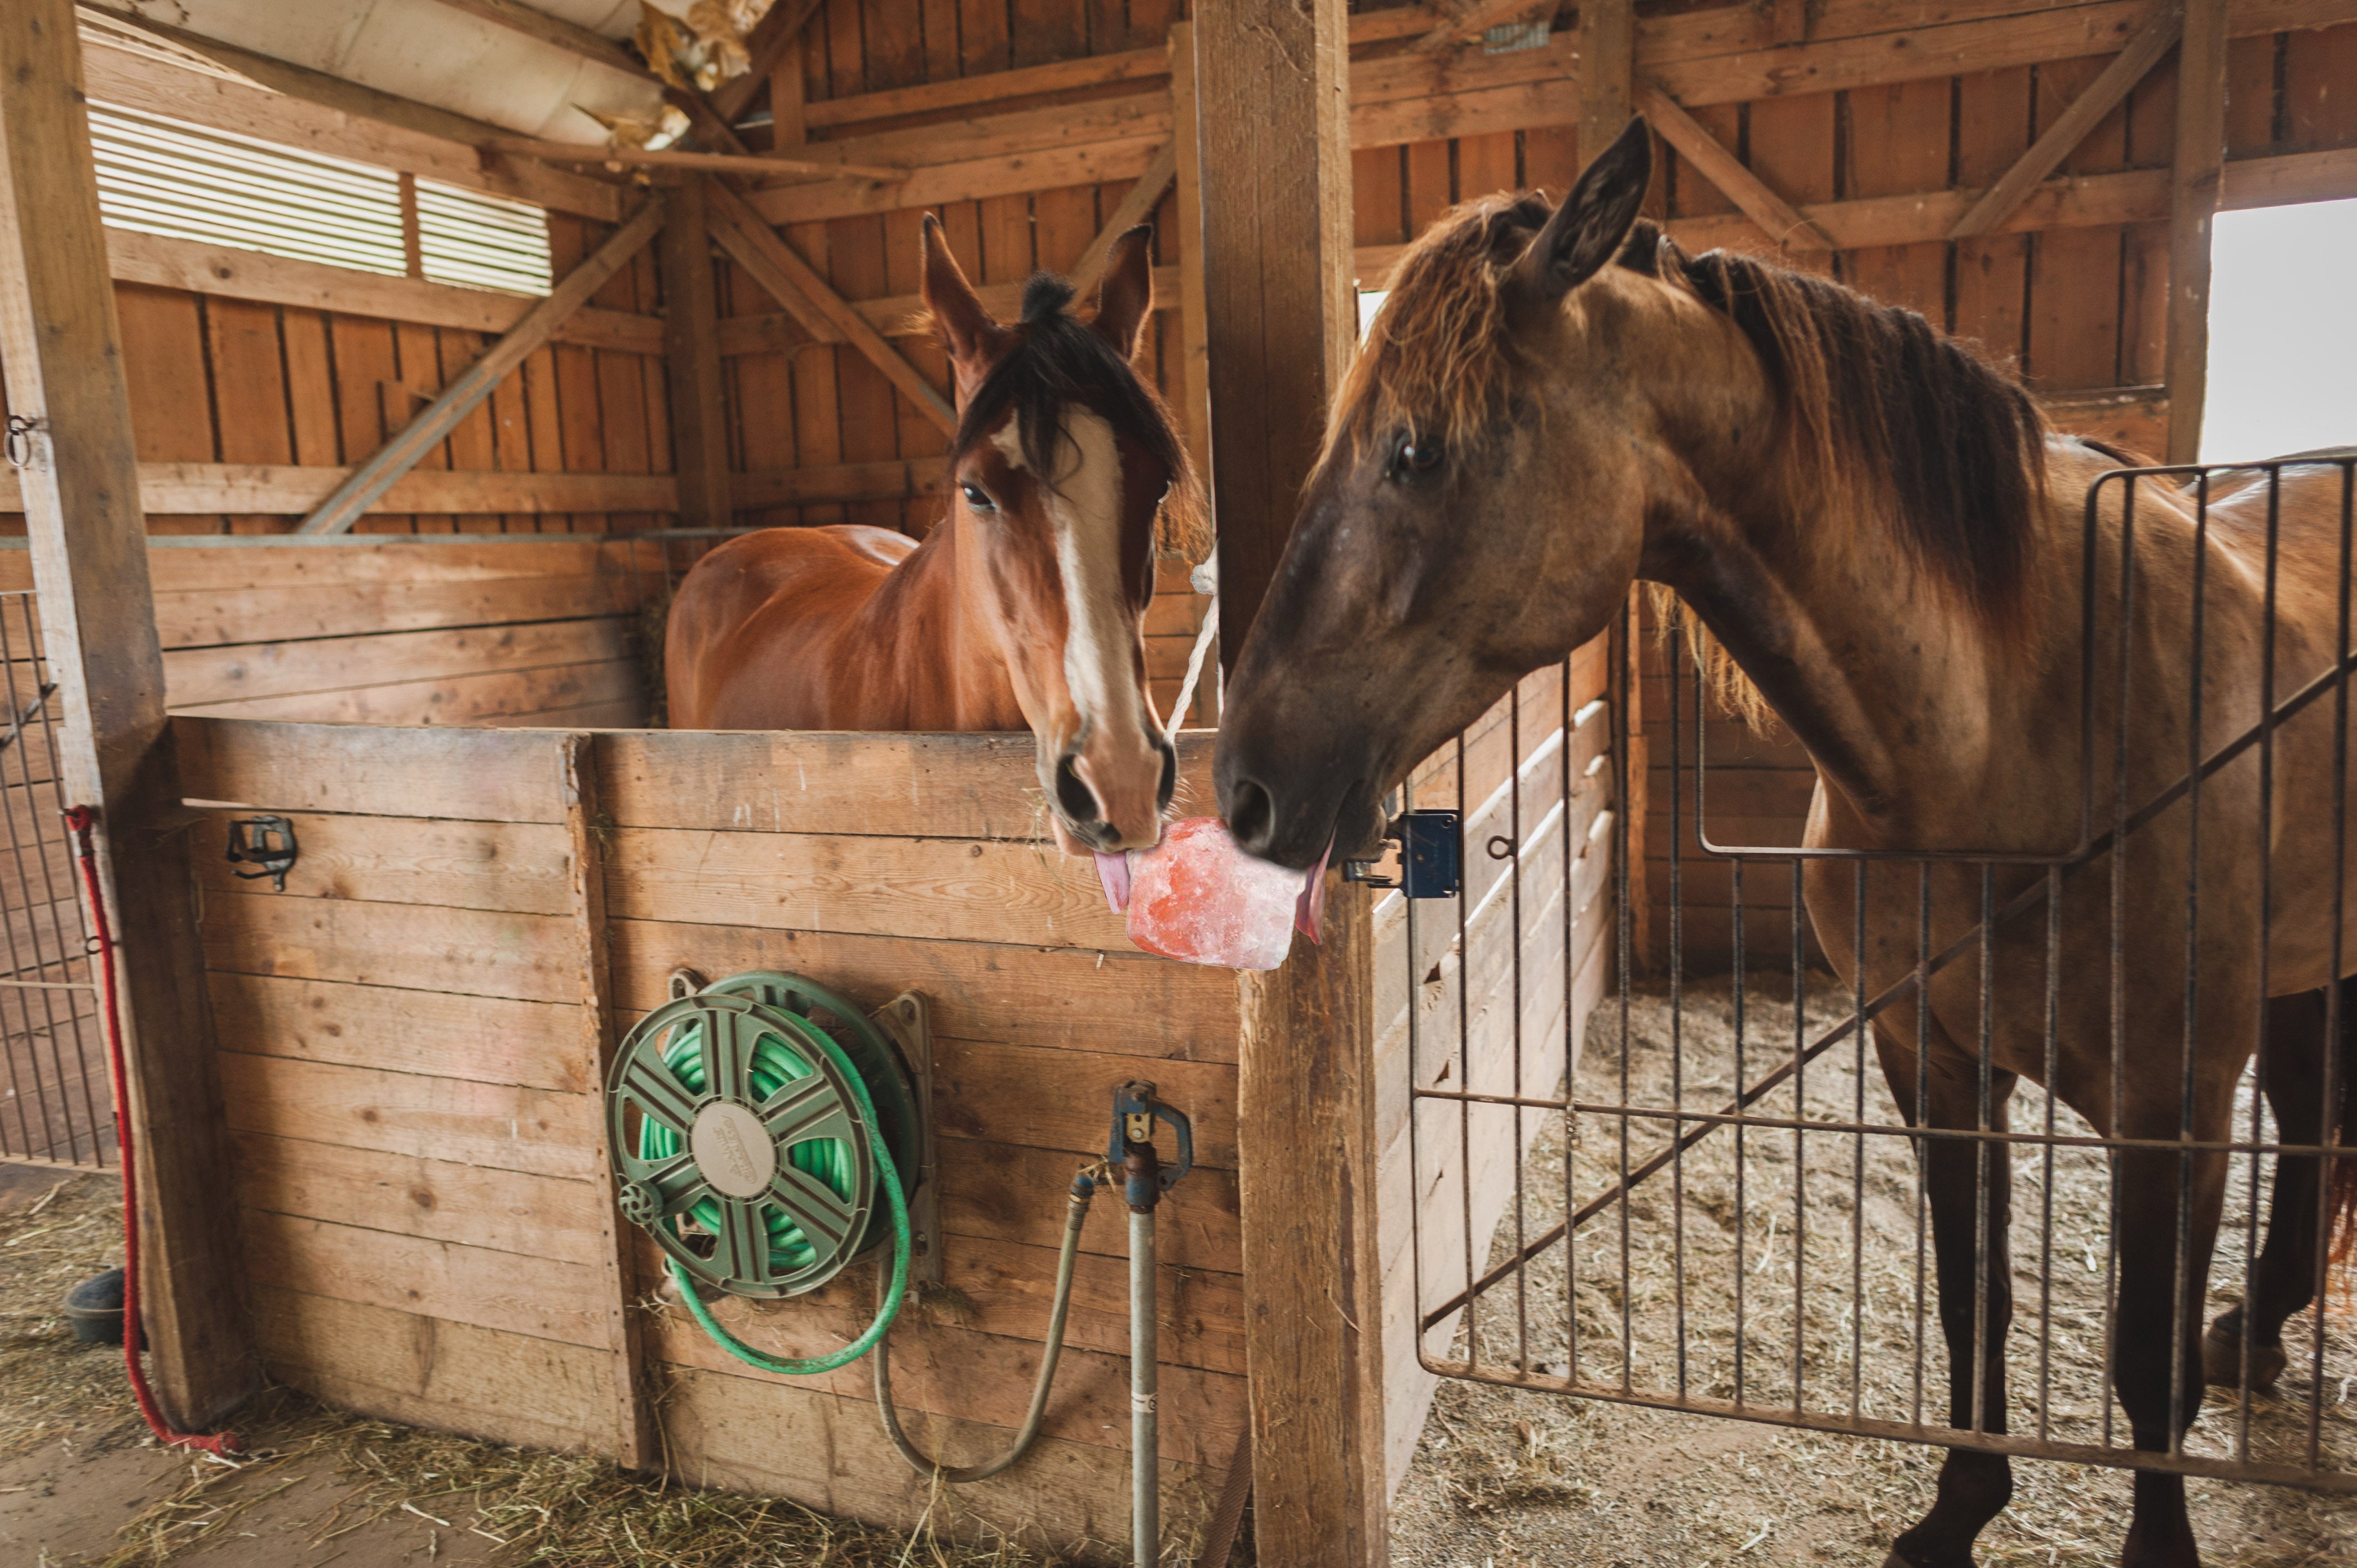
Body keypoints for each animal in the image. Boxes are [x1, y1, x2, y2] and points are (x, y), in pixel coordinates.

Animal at [1216, 122, 2357, 1565]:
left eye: (1415, 452)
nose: (1243, 788)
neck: (2013, 729)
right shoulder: (1930, 1058)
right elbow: (1971, 1293)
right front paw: (1958, 1509)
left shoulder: (2177, 1101)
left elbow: (2143, 1362)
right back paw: (2257, 1332)